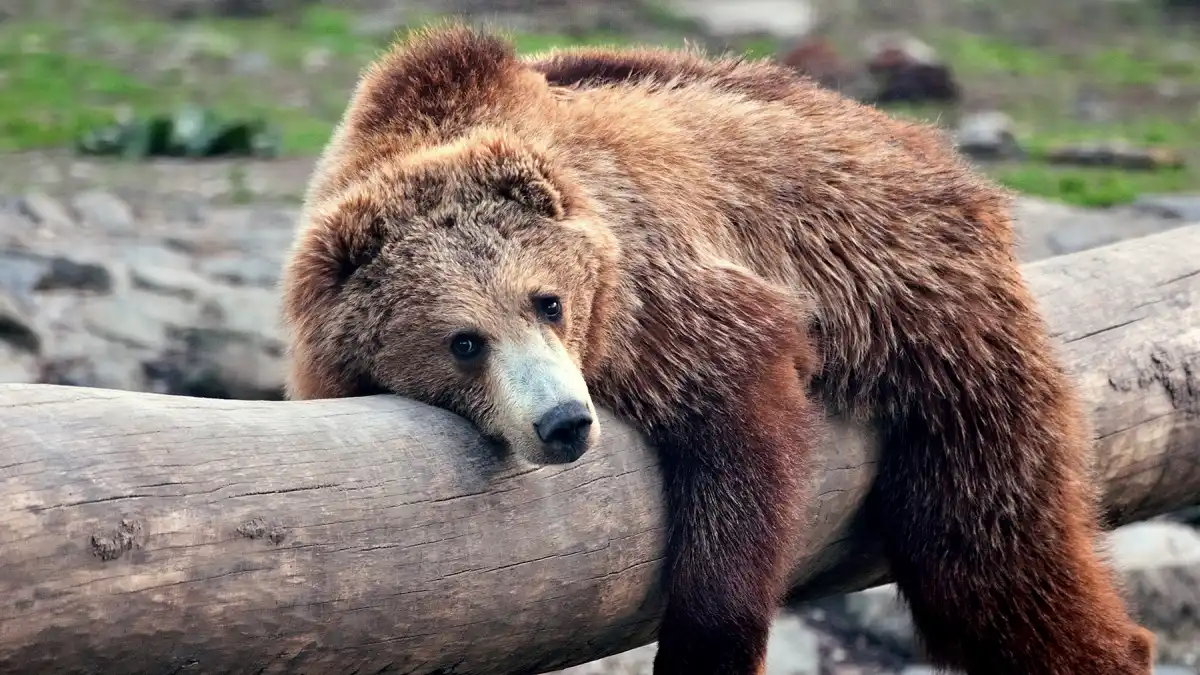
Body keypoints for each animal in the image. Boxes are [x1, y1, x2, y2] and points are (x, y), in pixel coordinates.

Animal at [279, 24, 1155, 675]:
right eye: (464, 341)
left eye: (547, 300)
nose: (564, 422)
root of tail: (933, 151)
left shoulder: (660, 295)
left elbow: (740, 432)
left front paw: (707, 645)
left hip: (932, 310)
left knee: (987, 548)